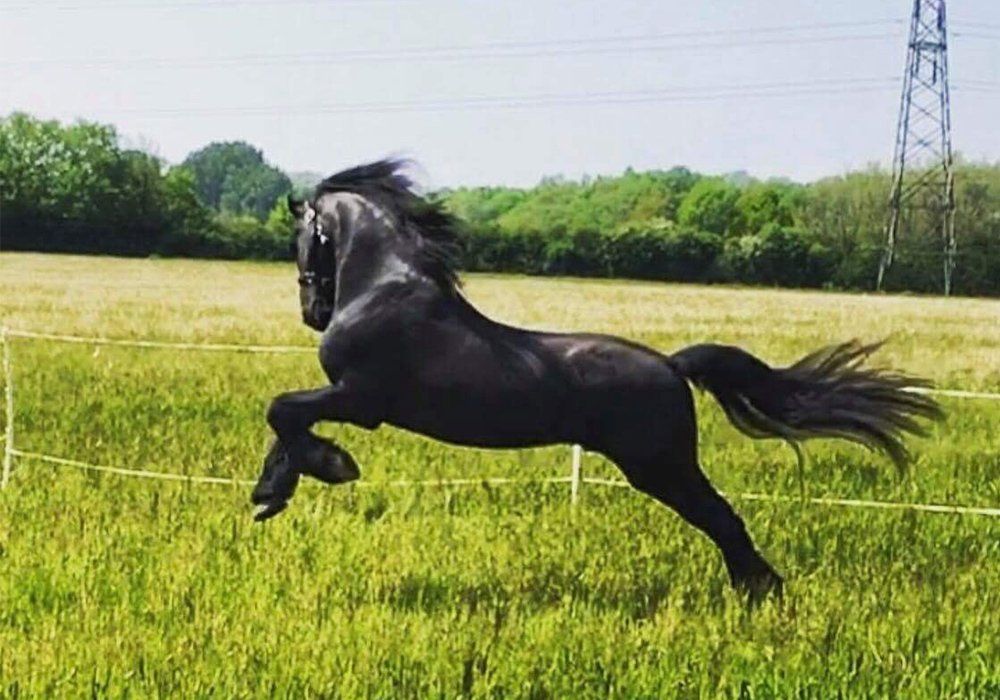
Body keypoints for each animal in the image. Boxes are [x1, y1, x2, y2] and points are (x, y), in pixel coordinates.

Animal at [251, 159, 942, 602]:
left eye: (300, 238)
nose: (312, 311)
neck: (385, 289)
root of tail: (672, 365)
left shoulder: (361, 398)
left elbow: (283, 410)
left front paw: (329, 467)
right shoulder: (353, 400)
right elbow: (284, 423)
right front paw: (271, 493)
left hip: (660, 465)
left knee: (723, 519)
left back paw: (761, 596)